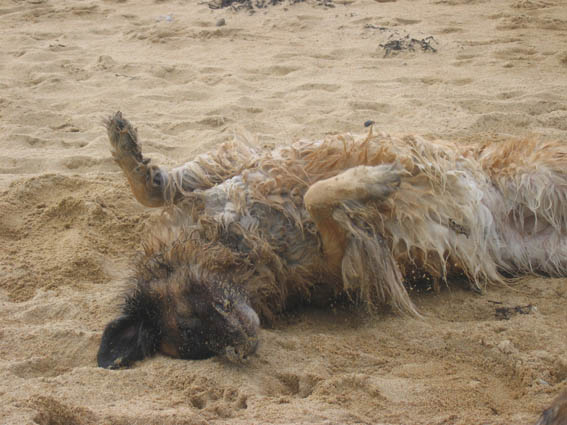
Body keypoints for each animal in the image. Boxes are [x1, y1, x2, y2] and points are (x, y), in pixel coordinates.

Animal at [97, 111, 567, 370]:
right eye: (199, 349)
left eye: (192, 321)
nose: (242, 351)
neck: (233, 244)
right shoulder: (350, 260)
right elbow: (319, 198)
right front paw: (371, 181)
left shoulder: (242, 163)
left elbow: (162, 187)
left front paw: (129, 152)